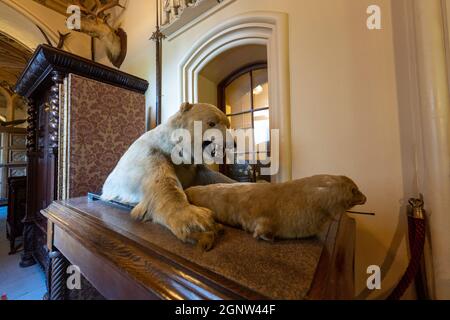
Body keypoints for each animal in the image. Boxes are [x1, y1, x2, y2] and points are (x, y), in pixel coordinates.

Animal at [102, 102, 236, 250]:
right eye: (212, 123)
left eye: (228, 125)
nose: (232, 144)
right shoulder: (152, 154)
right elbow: (164, 184)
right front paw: (202, 223)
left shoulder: (192, 168)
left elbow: (215, 177)